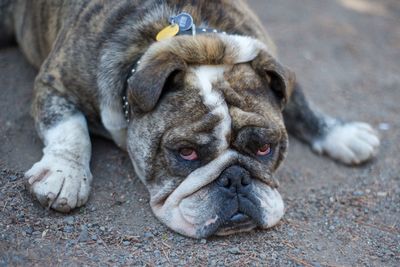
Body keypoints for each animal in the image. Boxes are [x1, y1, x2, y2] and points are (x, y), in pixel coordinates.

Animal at [0, 0, 380, 239]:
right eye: (186, 153)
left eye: (264, 149)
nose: (235, 179)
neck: (200, 46)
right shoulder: (55, 82)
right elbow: (70, 127)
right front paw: (64, 173)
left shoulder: (274, 66)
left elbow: (299, 101)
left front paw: (340, 133)